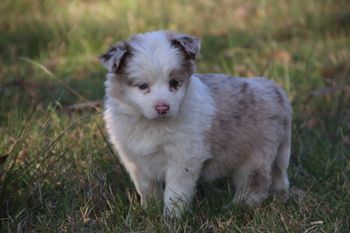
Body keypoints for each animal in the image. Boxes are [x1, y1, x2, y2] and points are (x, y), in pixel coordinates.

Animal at [99, 30, 292, 217]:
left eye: (174, 83)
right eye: (142, 86)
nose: (163, 107)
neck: (151, 124)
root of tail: (276, 90)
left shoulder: (184, 156)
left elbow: (175, 191)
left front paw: (172, 217)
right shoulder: (134, 159)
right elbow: (147, 187)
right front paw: (150, 210)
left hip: (257, 153)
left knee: (256, 183)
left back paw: (238, 206)